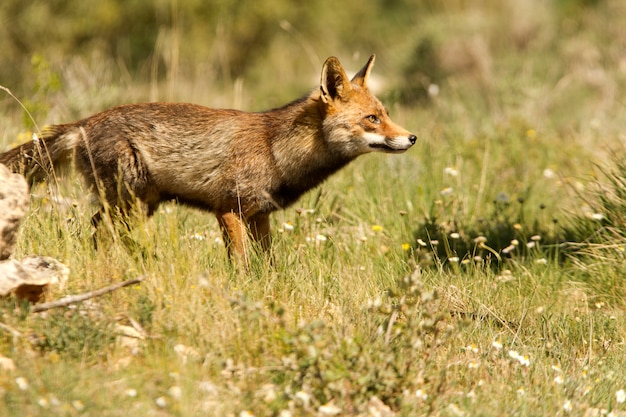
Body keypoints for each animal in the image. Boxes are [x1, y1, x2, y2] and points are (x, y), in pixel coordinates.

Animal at [3, 54, 420, 262]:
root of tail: (84, 121)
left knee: (95, 233)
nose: (412, 137)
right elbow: (241, 265)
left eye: (385, 113)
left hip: (139, 205)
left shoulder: (260, 216)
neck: (276, 151)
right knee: (97, 232)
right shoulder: (228, 210)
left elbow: (268, 264)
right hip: (129, 202)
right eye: (372, 119)